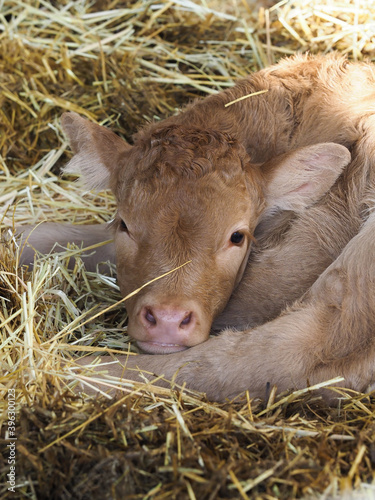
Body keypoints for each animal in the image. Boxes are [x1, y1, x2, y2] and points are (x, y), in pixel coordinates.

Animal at [18, 52, 375, 400]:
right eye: (125, 225)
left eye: (237, 236)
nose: (167, 320)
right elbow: (53, 236)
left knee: (276, 353)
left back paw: (67, 370)